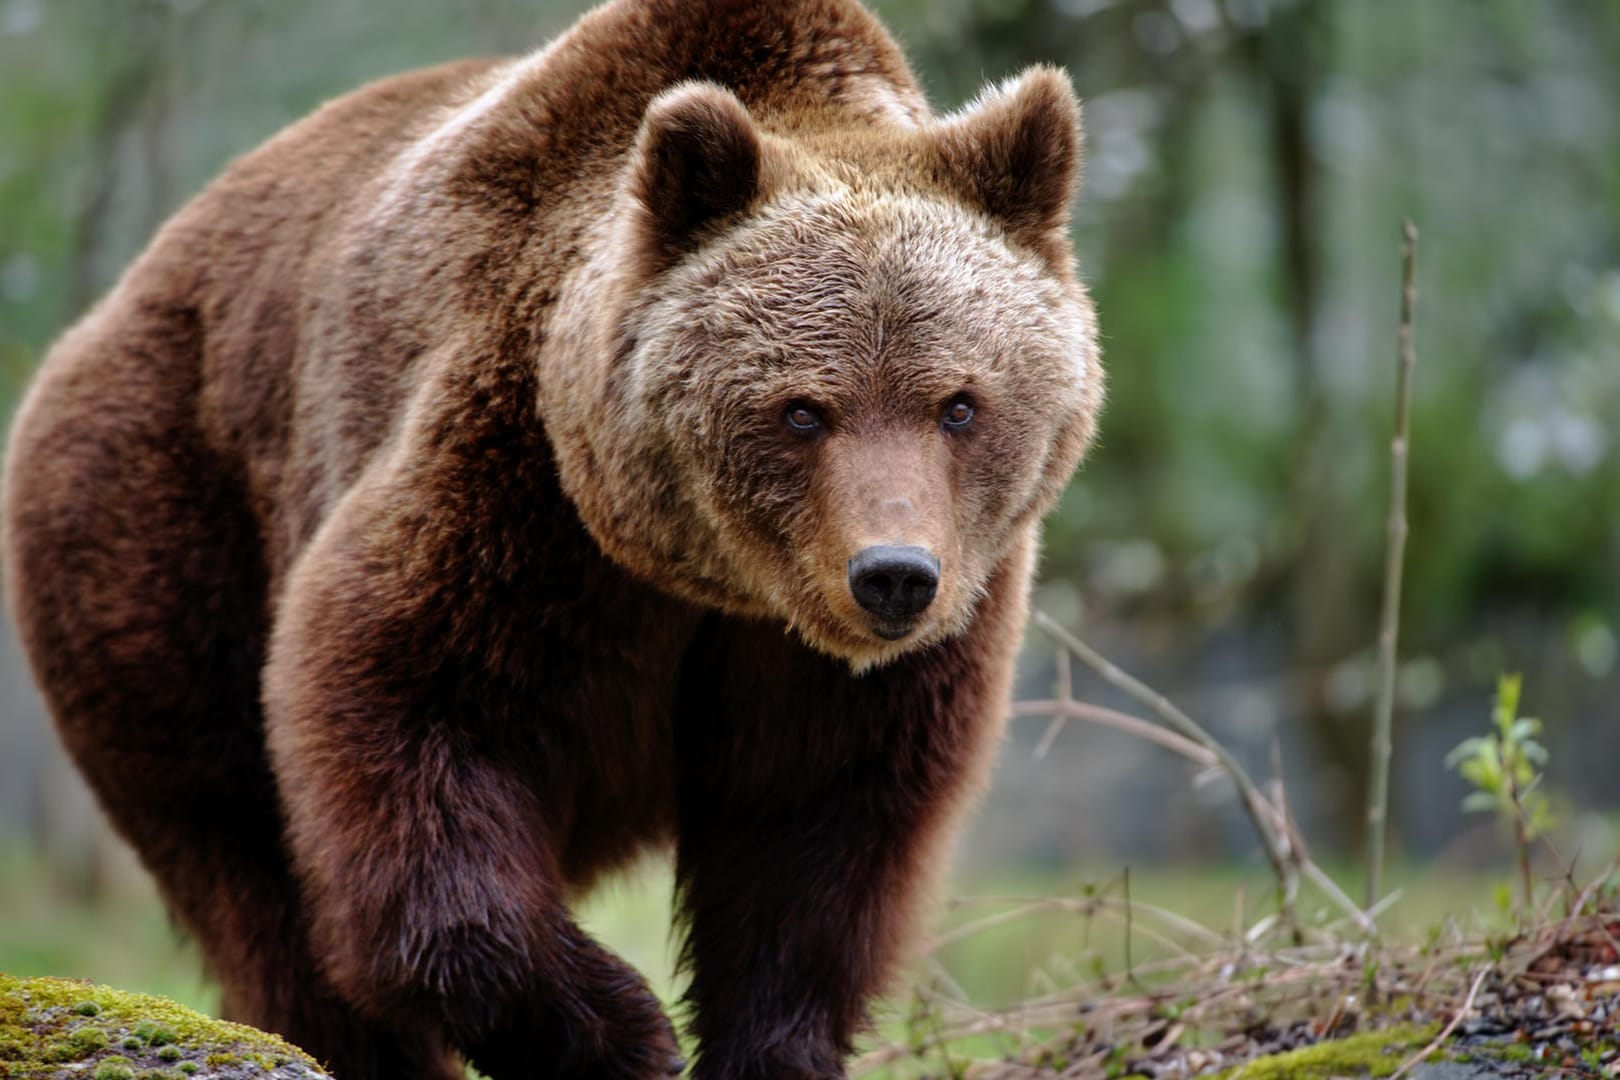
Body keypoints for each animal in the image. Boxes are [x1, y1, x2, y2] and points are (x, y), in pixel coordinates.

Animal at [0, 2, 1101, 1080]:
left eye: (959, 404)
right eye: (801, 410)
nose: (892, 577)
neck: (707, 579)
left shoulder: (863, 649)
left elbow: (816, 828)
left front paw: (766, 1046)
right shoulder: (516, 488)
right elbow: (406, 712)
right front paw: (620, 1030)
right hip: (163, 522)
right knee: (241, 848)